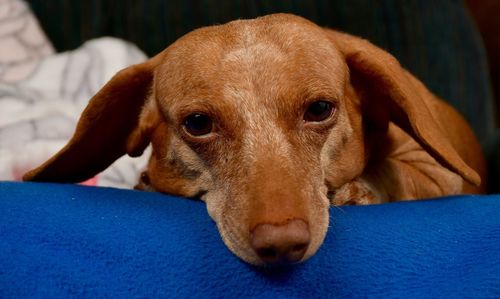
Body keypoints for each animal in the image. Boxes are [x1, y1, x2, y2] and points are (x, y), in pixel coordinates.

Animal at [21, 14, 486, 268]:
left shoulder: (437, 173)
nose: (282, 244)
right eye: (198, 123)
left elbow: (392, 174)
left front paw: (359, 189)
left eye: (320, 109)